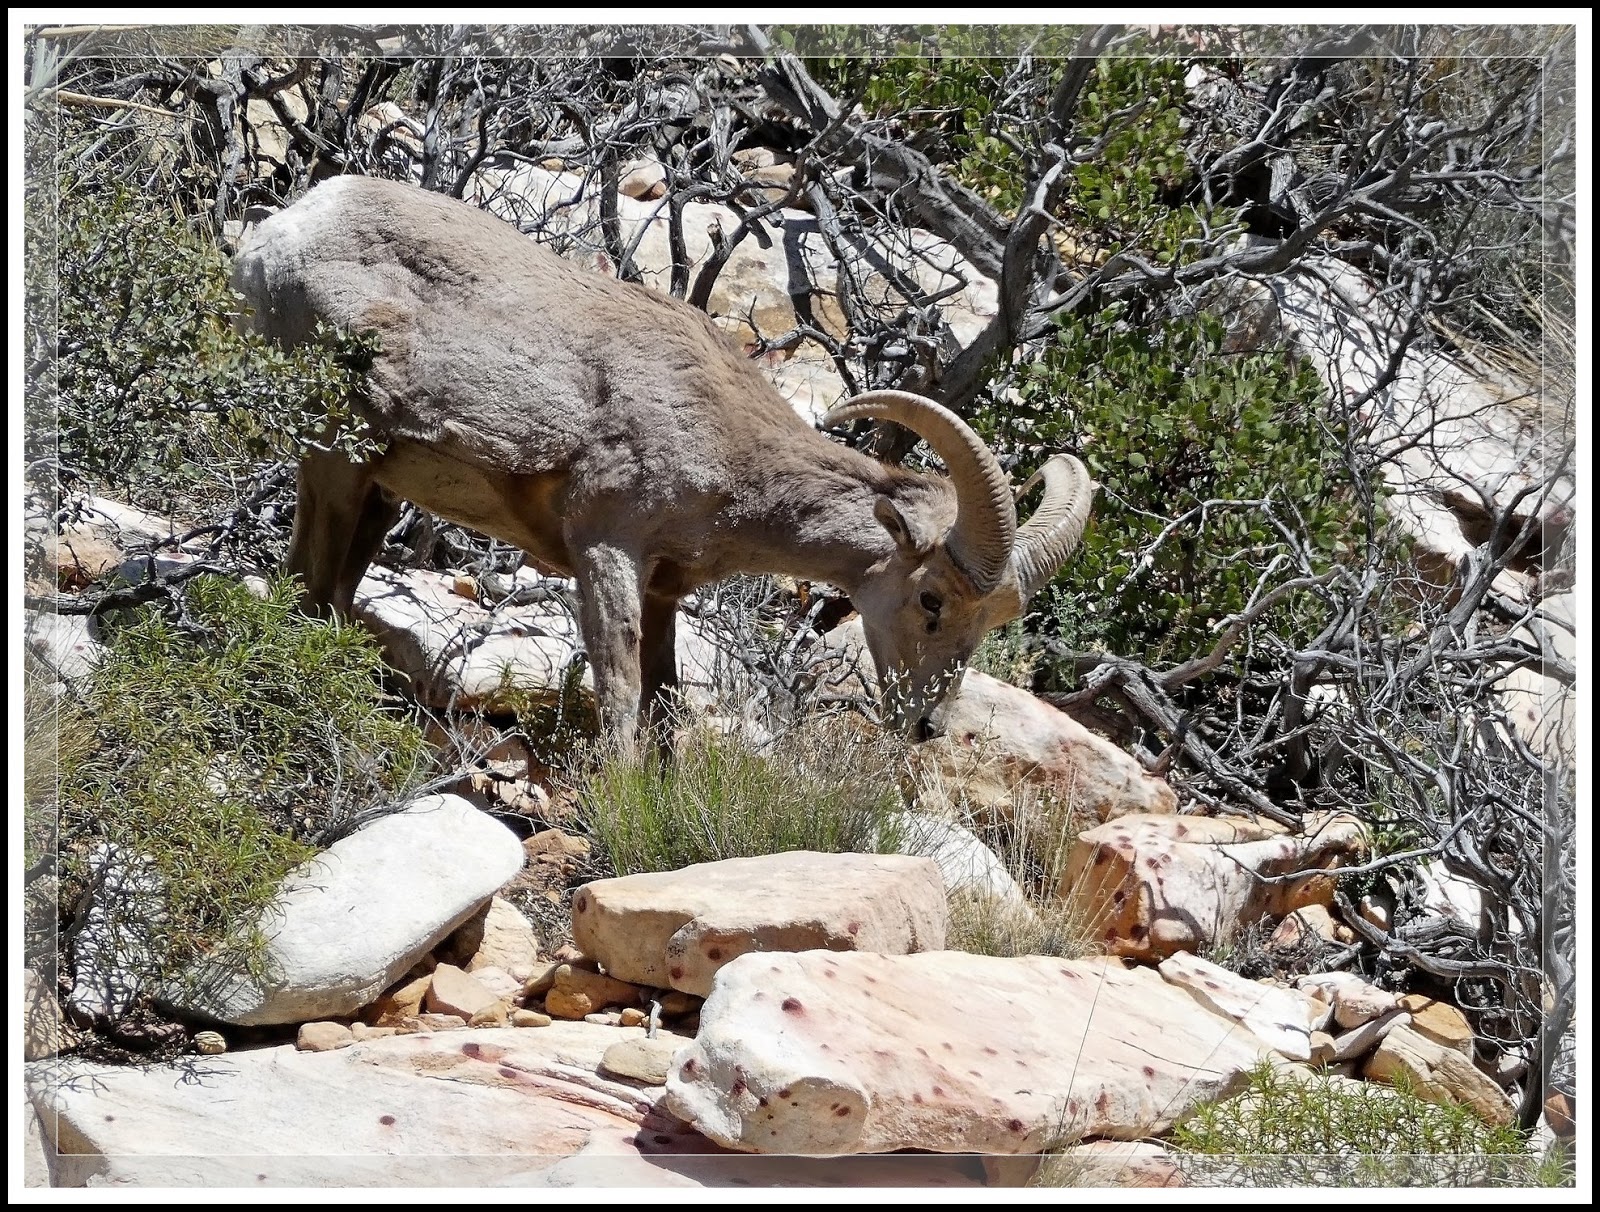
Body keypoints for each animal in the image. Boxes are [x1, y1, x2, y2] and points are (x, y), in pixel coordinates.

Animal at [230, 175, 1094, 748]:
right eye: (931, 601)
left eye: (995, 622)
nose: (926, 728)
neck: (729, 452)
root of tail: (276, 235)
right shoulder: (607, 549)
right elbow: (619, 696)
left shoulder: (664, 590)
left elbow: (667, 703)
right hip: (335, 457)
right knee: (307, 581)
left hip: (378, 487)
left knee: (329, 591)